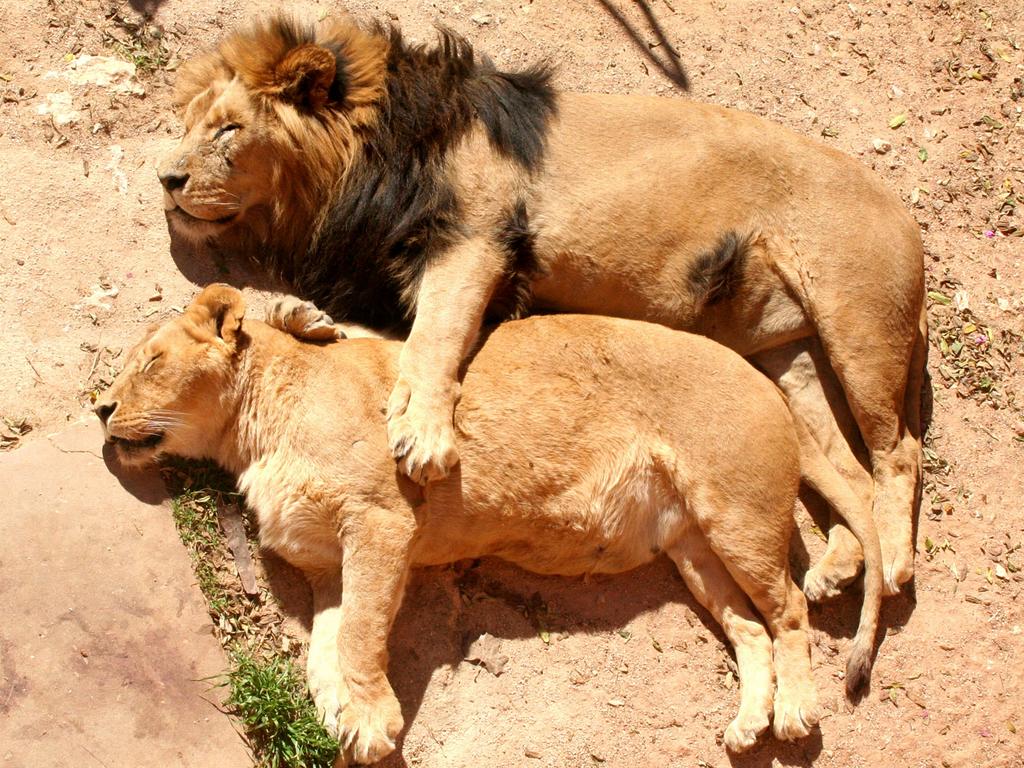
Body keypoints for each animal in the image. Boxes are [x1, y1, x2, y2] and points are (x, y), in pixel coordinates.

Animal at [94, 286, 880, 768]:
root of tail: (766, 381)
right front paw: (337, 715)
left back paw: (795, 713)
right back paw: (749, 723)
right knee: (750, 629)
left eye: (152, 361)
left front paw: (371, 721)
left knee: (791, 609)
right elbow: (323, 648)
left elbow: (361, 633)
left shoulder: (380, 522)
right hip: (693, 549)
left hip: (738, 515)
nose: (100, 409)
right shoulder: (325, 565)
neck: (250, 435)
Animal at [157, 15, 929, 598]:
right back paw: (839, 565)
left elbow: (435, 337)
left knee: (899, 453)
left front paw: (424, 435)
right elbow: (384, 340)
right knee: (847, 471)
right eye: (187, 124)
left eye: (227, 130)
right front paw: (304, 319)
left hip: (860, 328)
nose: (165, 178)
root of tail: (907, 213)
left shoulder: (477, 239)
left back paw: (892, 564)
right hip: (785, 358)